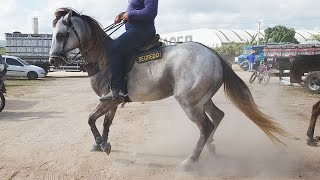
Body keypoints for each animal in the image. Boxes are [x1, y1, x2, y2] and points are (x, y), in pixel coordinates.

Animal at [50, 8, 288, 168]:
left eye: (60, 35)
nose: (53, 60)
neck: (104, 58)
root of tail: (213, 54)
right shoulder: (112, 100)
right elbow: (106, 122)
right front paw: (103, 144)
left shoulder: (110, 99)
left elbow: (91, 119)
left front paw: (100, 143)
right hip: (202, 99)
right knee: (217, 117)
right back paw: (210, 148)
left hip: (189, 102)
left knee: (205, 126)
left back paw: (191, 161)